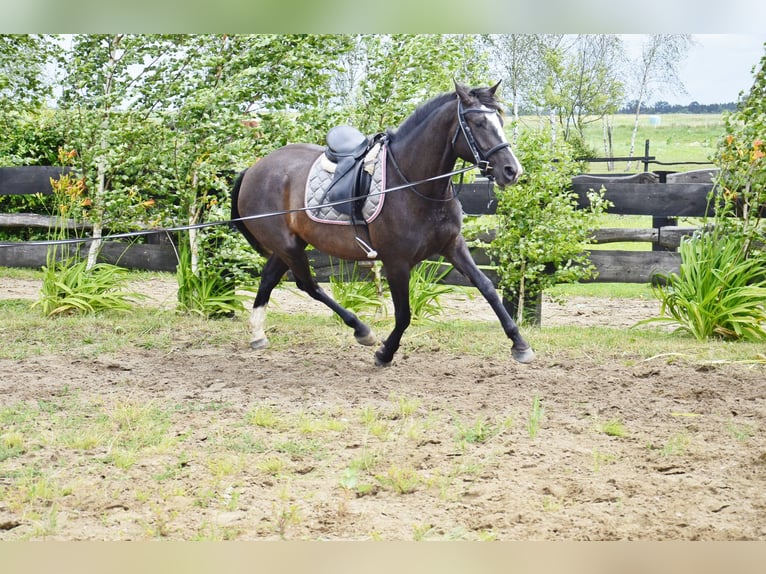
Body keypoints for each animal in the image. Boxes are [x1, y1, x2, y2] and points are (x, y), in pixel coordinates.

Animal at [231, 82, 535, 366]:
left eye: (500, 120)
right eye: (478, 123)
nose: (512, 170)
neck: (413, 183)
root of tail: (253, 169)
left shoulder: (453, 246)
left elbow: (487, 288)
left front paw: (520, 344)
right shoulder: (396, 262)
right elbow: (404, 314)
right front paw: (385, 353)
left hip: (289, 245)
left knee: (270, 278)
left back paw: (258, 334)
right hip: (288, 246)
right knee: (308, 284)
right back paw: (361, 330)